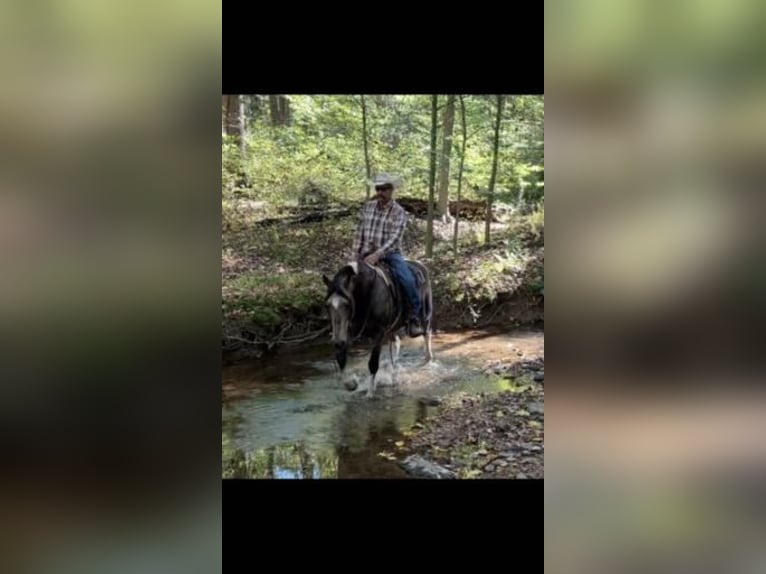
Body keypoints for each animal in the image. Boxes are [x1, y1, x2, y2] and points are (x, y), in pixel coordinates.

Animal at [320, 258, 436, 398]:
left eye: (347, 304)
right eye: (327, 305)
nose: (337, 342)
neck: (365, 293)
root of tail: (421, 265)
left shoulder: (379, 332)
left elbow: (373, 363)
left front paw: (370, 393)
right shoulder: (347, 332)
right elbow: (341, 357)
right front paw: (351, 384)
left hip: (426, 315)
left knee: (427, 334)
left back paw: (428, 359)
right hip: (393, 327)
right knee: (396, 343)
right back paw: (394, 372)